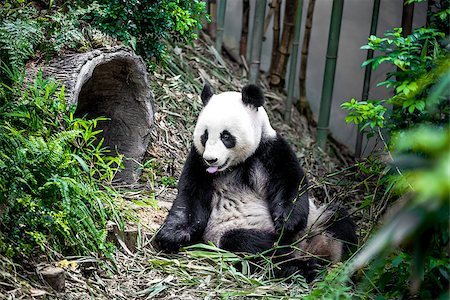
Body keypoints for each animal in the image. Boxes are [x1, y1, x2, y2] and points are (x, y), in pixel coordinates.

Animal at [153, 83, 356, 280]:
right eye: (205, 135)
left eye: (226, 136)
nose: (211, 159)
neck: (236, 165)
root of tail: (307, 247)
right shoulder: (198, 160)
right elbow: (191, 198)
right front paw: (171, 236)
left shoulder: (270, 149)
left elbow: (291, 182)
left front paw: (286, 221)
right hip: (232, 230)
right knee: (252, 246)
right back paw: (302, 266)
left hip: (318, 220)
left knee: (339, 219)